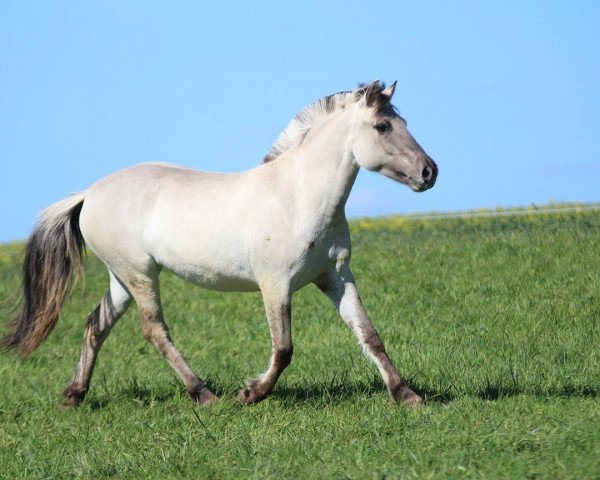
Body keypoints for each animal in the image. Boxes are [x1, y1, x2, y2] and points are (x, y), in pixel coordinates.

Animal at [2, 79, 438, 408]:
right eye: (382, 127)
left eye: (402, 121)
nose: (429, 172)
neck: (297, 198)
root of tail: (89, 194)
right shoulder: (275, 284)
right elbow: (283, 348)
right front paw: (251, 394)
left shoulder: (335, 277)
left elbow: (369, 334)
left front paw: (407, 396)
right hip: (140, 275)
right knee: (154, 330)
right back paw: (205, 395)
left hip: (122, 279)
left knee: (96, 324)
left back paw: (74, 396)